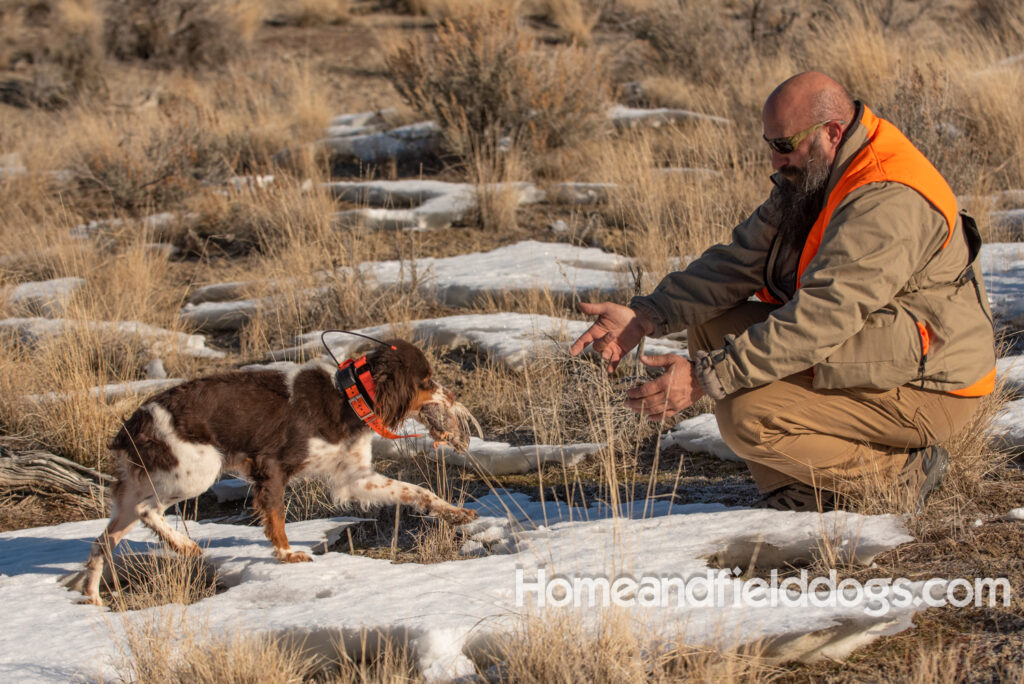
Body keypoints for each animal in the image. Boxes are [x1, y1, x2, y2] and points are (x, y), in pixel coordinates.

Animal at [80, 339, 479, 606]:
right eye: (426, 382)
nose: (453, 397)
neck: (347, 397)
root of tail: (134, 423)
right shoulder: (271, 467)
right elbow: (276, 518)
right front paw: (287, 554)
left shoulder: (356, 477)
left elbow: (417, 490)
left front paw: (455, 513)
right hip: (196, 470)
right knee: (148, 511)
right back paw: (185, 545)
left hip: (137, 491)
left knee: (103, 540)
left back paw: (93, 597)